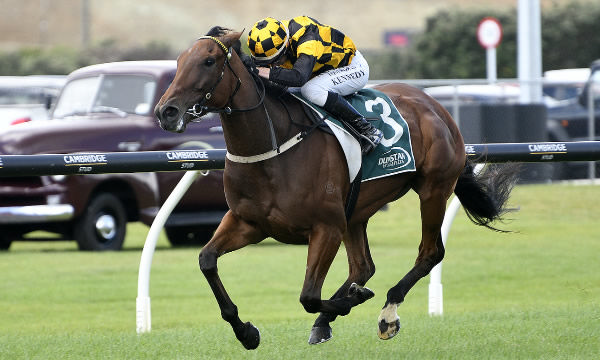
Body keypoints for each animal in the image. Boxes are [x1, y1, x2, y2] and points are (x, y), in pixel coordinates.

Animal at [155, 27, 516, 348]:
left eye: (209, 61)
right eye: (180, 60)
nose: (165, 111)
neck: (273, 148)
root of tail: (435, 105)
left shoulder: (325, 227)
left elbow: (309, 296)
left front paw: (349, 303)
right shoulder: (248, 223)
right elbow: (206, 260)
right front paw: (246, 332)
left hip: (433, 189)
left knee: (429, 253)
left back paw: (387, 313)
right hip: (355, 211)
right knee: (363, 266)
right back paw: (332, 316)